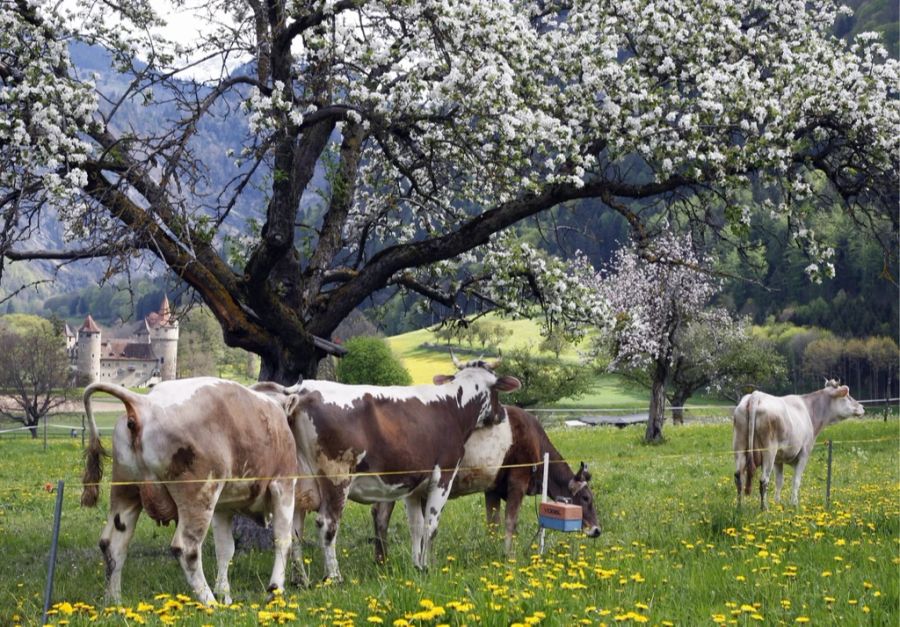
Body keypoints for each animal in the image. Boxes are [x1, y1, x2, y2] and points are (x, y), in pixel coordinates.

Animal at [81, 378, 298, 604]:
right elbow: (283, 539)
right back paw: (209, 602)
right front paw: (275, 589)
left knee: (112, 545)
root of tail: (145, 403)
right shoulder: (284, 485)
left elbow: (225, 549)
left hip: (126, 492)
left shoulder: (223, 507)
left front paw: (225, 595)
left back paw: (114, 601)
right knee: (186, 548)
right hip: (198, 497)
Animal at [253, 360, 520, 580]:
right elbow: (430, 526)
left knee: (294, 528)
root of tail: (300, 391)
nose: (500, 414)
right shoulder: (443, 475)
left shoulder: (414, 484)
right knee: (327, 523)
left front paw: (417, 566)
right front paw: (428, 567)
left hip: (299, 482)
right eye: (497, 388)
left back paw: (301, 580)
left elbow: (415, 526)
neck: (452, 406)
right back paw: (334, 577)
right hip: (337, 476)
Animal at [370, 404, 596, 560]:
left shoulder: (492, 488)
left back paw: (383, 563)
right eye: (586, 498)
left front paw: (492, 552)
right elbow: (510, 521)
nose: (597, 530)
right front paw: (509, 557)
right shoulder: (518, 479)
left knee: (379, 515)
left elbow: (492, 523)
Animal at [732, 378, 864, 510]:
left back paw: (739, 506)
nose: (861, 407)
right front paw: (794, 504)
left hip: (739, 446)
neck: (810, 411)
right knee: (764, 480)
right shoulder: (804, 453)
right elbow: (796, 480)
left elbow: (779, 481)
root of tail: (755, 395)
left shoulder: (778, 459)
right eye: (847, 395)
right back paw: (764, 508)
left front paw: (777, 503)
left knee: (739, 477)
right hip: (769, 451)